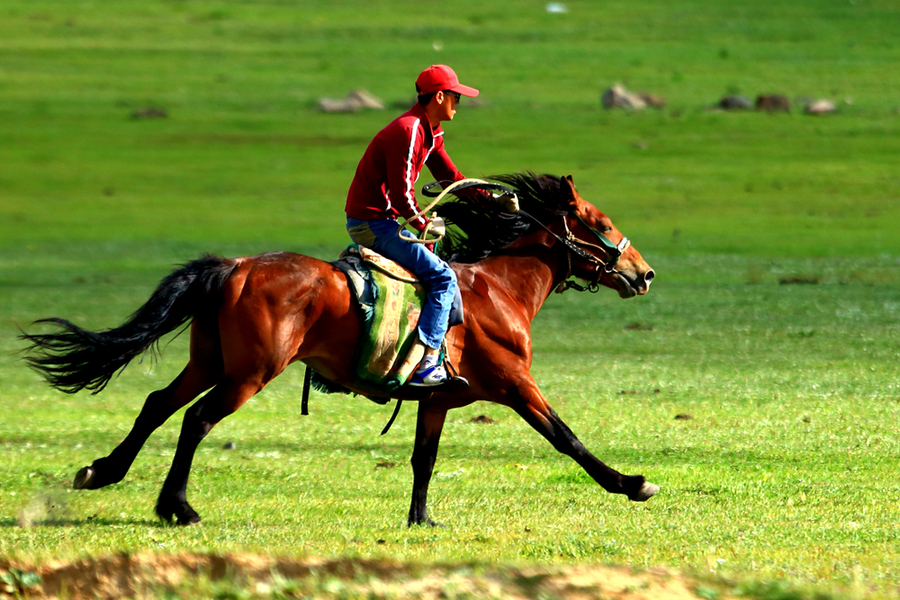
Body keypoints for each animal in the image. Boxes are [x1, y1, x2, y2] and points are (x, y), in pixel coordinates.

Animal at [19, 172, 652, 524]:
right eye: (600, 222)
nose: (643, 274)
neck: (498, 289)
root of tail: (236, 267)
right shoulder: (518, 386)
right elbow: (566, 437)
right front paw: (630, 483)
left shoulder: (438, 401)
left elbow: (424, 458)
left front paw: (420, 520)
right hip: (250, 373)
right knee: (196, 419)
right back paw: (177, 507)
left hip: (211, 361)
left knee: (157, 404)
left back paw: (101, 471)